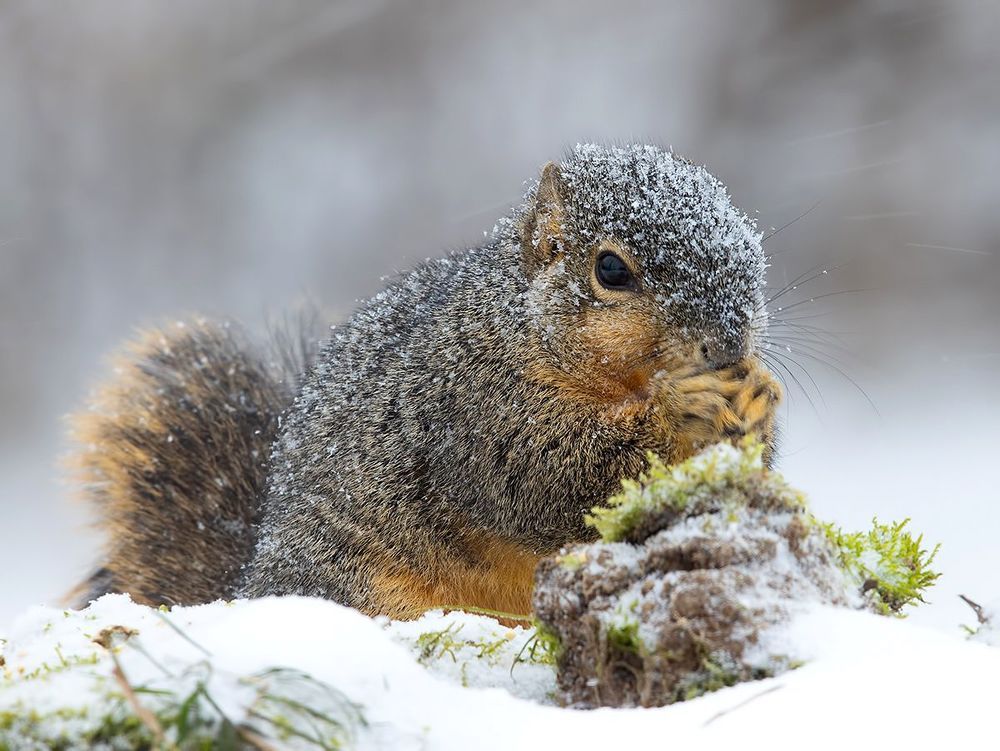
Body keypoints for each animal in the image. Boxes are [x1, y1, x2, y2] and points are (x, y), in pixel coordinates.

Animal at [68, 143, 781, 620]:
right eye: (611, 269)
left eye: (751, 245)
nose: (729, 343)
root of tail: (249, 586)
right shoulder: (470, 408)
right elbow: (546, 479)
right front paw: (679, 409)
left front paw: (759, 399)